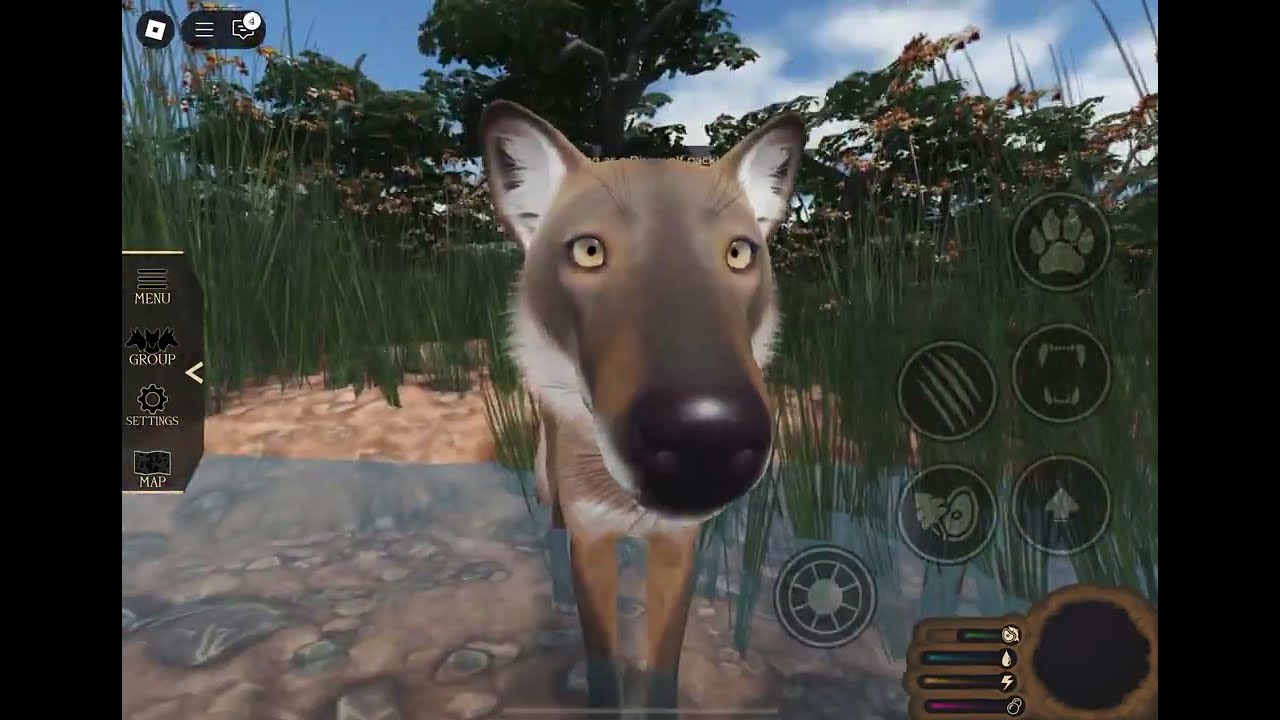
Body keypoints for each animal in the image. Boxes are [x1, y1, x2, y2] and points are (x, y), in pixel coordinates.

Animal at [478, 100, 805, 717]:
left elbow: (663, 668)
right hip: (551, 487)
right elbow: (604, 667)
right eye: (589, 251)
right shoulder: (591, 541)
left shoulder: (680, 546)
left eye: (737, 253)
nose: (707, 436)